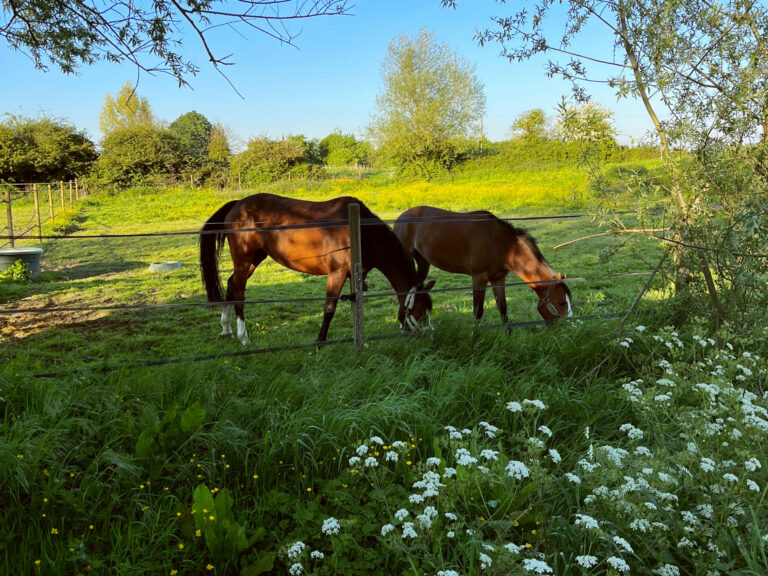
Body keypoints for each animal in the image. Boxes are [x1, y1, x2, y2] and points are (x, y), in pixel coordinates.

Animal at [200, 193, 434, 345]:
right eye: (420, 310)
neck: (360, 231)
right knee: (239, 290)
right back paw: (243, 337)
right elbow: (329, 309)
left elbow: (355, 305)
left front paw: (360, 342)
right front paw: (320, 343)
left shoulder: (355, 275)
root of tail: (238, 205)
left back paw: (226, 329)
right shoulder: (336, 274)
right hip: (243, 258)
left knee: (231, 283)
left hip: (253, 260)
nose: (427, 335)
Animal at [393, 206, 572, 325]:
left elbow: (503, 309)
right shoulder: (479, 278)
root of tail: (401, 218)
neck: (504, 245)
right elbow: (478, 311)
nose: (569, 326)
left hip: (423, 262)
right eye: (561, 303)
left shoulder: (498, 279)